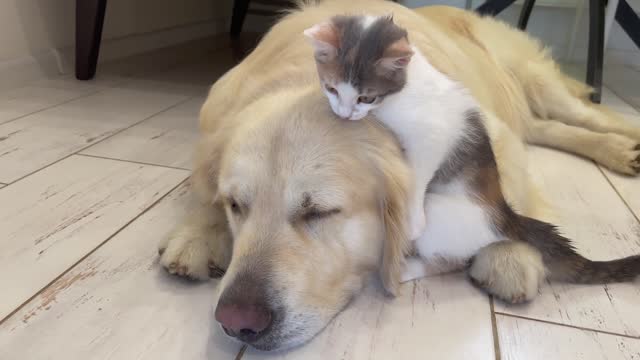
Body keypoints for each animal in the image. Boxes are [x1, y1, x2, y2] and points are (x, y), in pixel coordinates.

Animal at [304, 16, 480, 242]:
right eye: (331, 89)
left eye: (366, 98)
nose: (344, 114)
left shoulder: (435, 134)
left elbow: (418, 173)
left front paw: (413, 222)